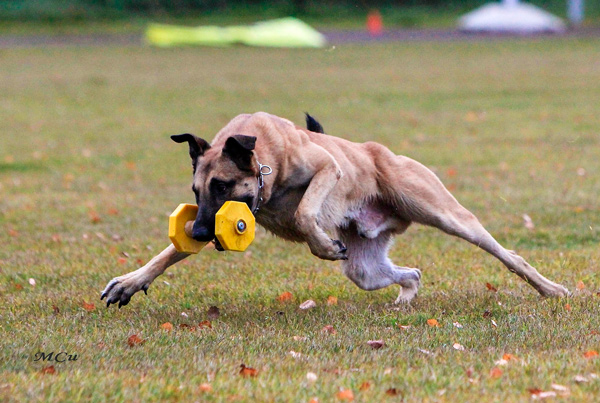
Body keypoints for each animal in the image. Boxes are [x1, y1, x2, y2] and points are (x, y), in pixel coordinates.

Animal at [101, 112, 568, 308]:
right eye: (196, 191)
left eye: (222, 186)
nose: (198, 234)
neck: (266, 159)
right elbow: (166, 254)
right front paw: (131, 282)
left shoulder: (327, 167)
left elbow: (306, 212)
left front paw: (323, 246)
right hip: (364, 268)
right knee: (410, 273)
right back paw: (404, 300)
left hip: (447, 215)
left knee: (510, 255)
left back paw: (550, 289)